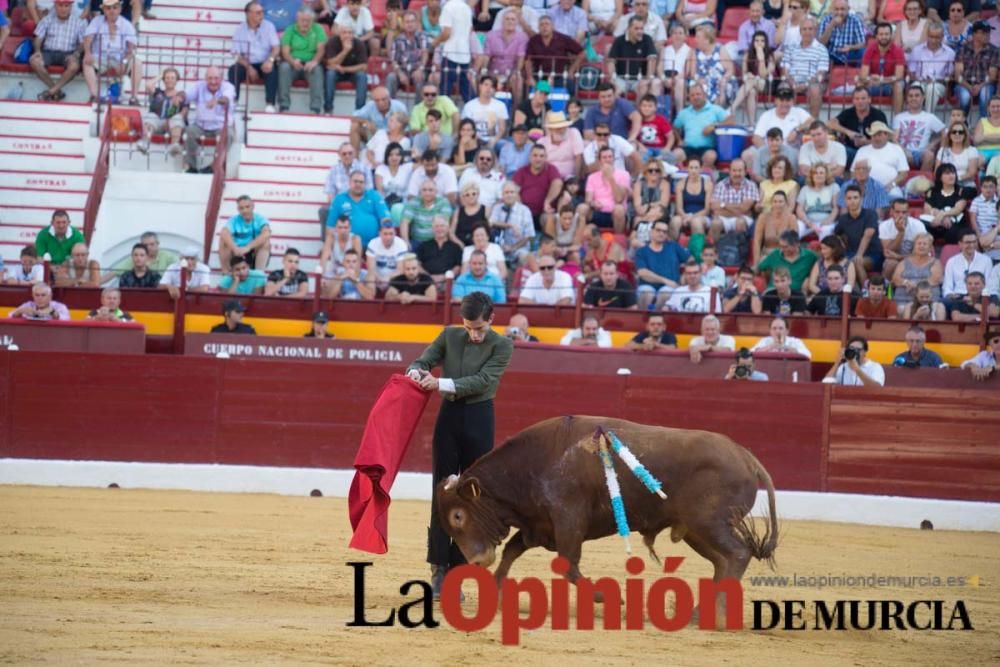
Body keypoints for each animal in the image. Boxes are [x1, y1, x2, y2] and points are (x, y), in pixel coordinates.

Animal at [440, 414, 780, 592]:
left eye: (458, 516)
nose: (476, 562)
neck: (533, 464)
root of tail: (745, 455)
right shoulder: (539, 525)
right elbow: (512, 551)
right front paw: (496, 592)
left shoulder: (568, 521)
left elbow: (568, 564)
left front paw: (603, 597)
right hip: (697, 530)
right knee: (723, 561)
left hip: (710, 523)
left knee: (736, 555)